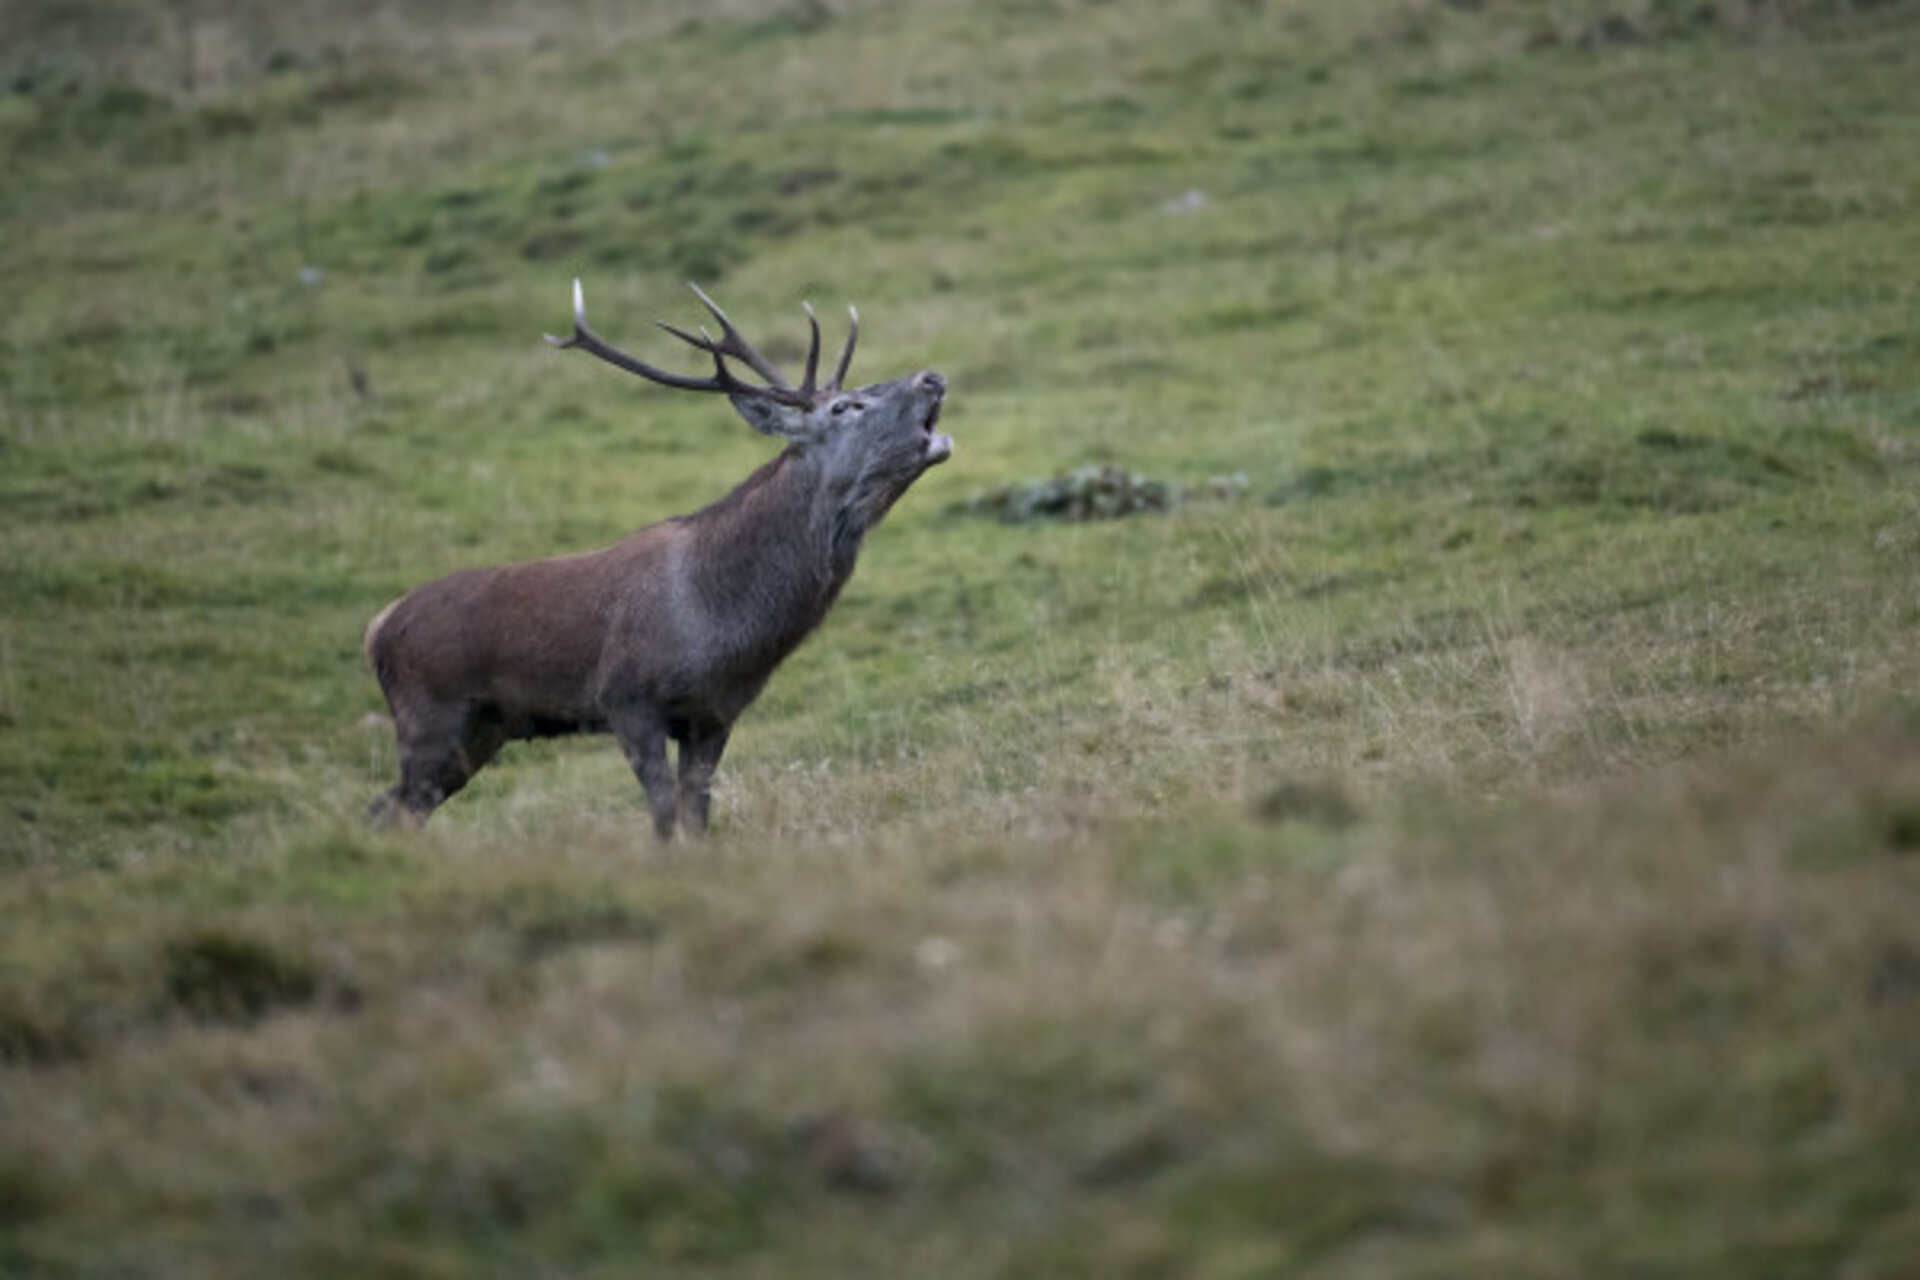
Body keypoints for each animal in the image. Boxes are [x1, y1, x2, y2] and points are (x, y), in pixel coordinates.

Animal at [363, 279, 953, 838]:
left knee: (393, 807)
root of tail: (376, 627)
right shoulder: (626, 699)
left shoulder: (714, 714)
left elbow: (696, 815)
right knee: (395, 806)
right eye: (845, 406)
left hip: (483, 730)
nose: (932, 378)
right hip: (431, 715)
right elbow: (665, 815)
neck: (719, 623)